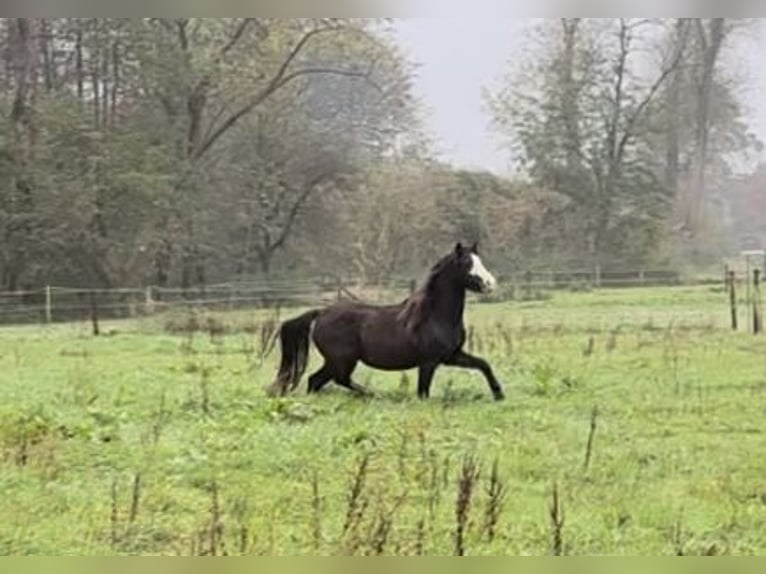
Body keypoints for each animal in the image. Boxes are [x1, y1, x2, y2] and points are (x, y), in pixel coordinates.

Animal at [272, 243, 508, 400]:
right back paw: (371, 394)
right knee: (329, 379)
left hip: (337, 361)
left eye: (480, 261)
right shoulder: (428, 362)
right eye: (467, 264)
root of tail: (321, 313)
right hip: (341, 360)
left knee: (317, 381)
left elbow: (483, 364)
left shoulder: (451, 355)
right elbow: (423, 393)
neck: (434, 315)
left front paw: (499, 394)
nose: (490, 284)